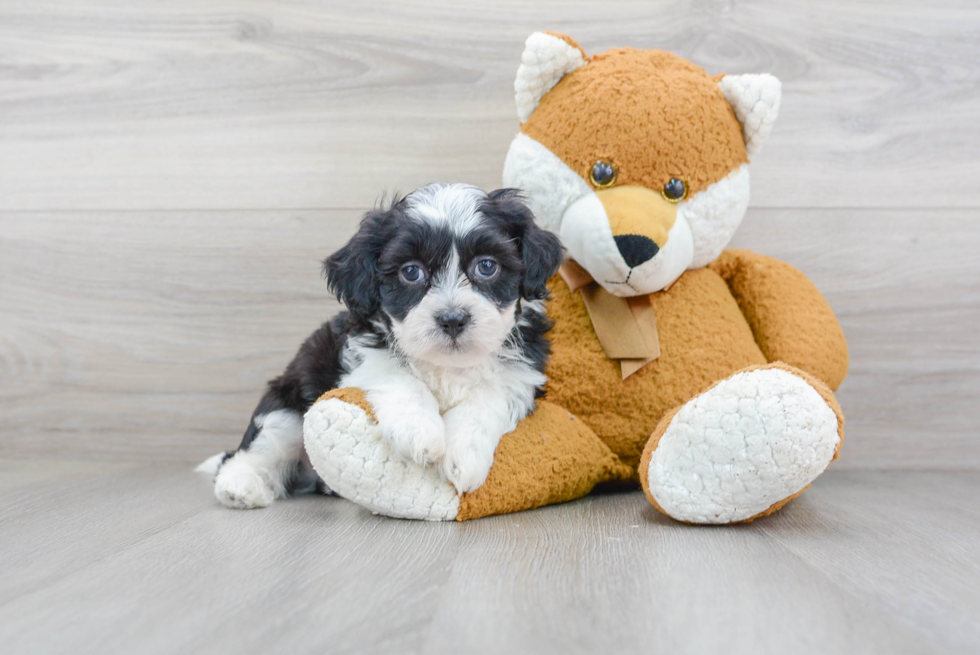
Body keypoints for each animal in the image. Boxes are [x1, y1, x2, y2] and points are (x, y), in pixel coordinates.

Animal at [199, 182, 564, 510]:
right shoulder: (363, 355)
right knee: (261, 447)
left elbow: (487, 399)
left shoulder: (521, 374)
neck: (446, 364)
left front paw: (465, 456)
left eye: (487, 266)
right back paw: (240, 486)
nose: (453, 318)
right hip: (288, 402)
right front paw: (420, 433)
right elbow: (402, 378)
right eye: (411, 272)